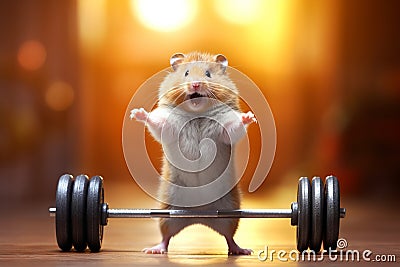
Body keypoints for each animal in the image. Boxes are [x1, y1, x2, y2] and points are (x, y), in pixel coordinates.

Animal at [130, 51, 256, 255]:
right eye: (187, 73)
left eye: (208, 74)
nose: (196, 84)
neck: (197, 113)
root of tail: (198, 216)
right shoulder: (169, 126)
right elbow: (157, 123)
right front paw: (137, 113)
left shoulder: (224, 130)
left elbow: (234, 126)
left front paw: (249, 117)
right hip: (167, 212)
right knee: (165, 237)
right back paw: (152, 250)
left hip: (230, 213)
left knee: (229, 237)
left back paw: (242, 250)